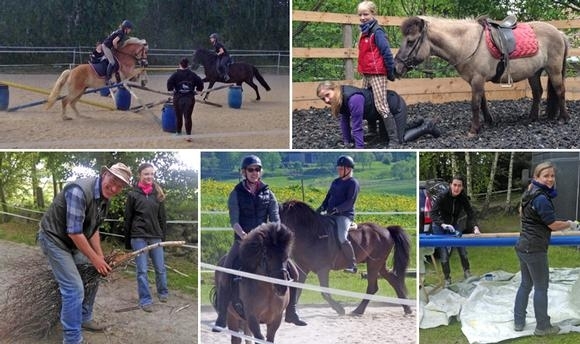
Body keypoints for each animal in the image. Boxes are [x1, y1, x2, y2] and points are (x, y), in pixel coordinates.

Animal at [280, 200, 412, 316]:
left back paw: (358, 311)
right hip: (379, 264)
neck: (312, 235)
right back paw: (407, 308)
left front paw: (340, 309)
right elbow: (298, 290)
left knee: (372, 287)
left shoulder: (323, 269)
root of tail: (386, 230)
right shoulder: (303, 268)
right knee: (393, 280)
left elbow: (325, 293)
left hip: (374, 264)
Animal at [392, 15, 568, 136]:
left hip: (554, 70)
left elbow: (475, 104)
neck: (467, 43)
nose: (396, 68)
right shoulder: (476, 80)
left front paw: (473, 130)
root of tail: (559, 33)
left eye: (410, 41)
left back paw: (563, 118)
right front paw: (488, 122)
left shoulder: (477, 79)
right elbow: (482, 102)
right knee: (537, 92)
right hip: (534, 72)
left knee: (560, 91)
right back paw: (532, 118)